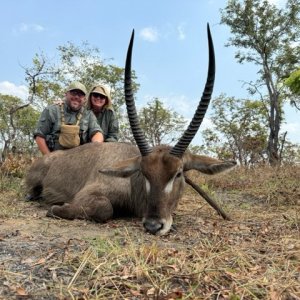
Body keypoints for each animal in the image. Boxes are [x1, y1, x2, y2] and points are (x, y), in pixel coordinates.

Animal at [25, 24, 236, 236]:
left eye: (178, 174)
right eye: (143, 172)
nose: (153, 225)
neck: (133, 185)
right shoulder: (89, 194)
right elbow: (104, 208)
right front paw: (55, 208)